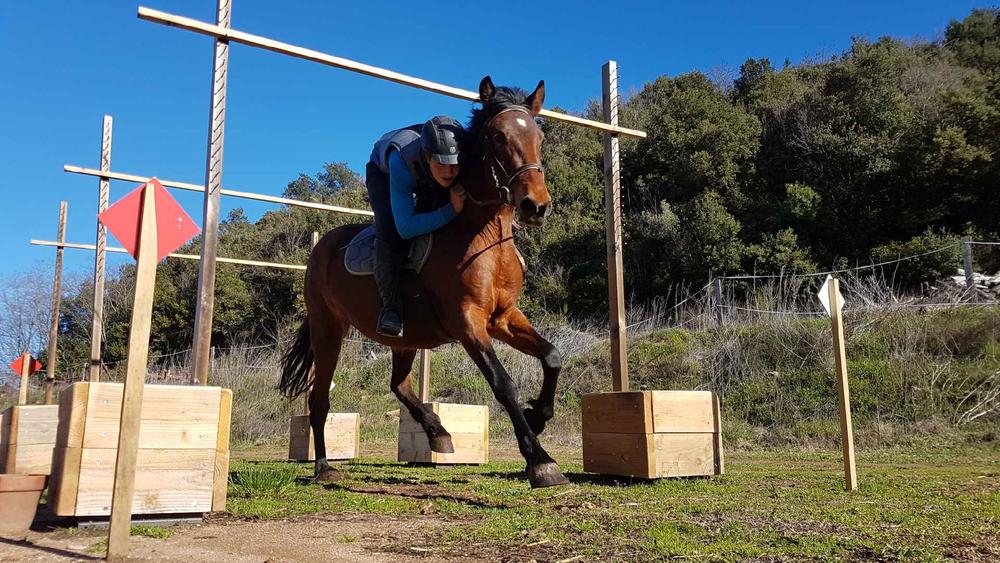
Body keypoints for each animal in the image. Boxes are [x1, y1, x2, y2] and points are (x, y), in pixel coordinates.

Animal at [279, 76, 568, 488]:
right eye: (497, 136)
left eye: (539, 136)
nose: (535, 206)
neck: (481, 234)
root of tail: (323, 247)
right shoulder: (467, 323)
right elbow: (503, 383)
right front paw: (540, 460)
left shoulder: (503, 317)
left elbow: (552, 356)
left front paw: (538, 417)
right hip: (328, 327)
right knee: (320, 400)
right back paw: (323, 466)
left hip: (404, 337)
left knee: (398, 384)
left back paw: (437, 431)